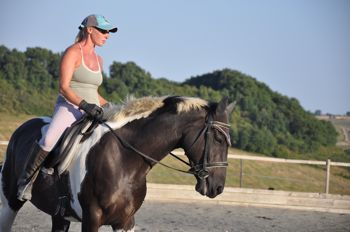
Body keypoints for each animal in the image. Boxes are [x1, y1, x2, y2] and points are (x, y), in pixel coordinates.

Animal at [0, 95, 235, 231]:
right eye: (218, 138)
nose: (218, 188)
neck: (124, 160)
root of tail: (23, 127)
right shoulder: (91, 219)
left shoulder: (125, 222)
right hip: (11, 201)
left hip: (60, 215)